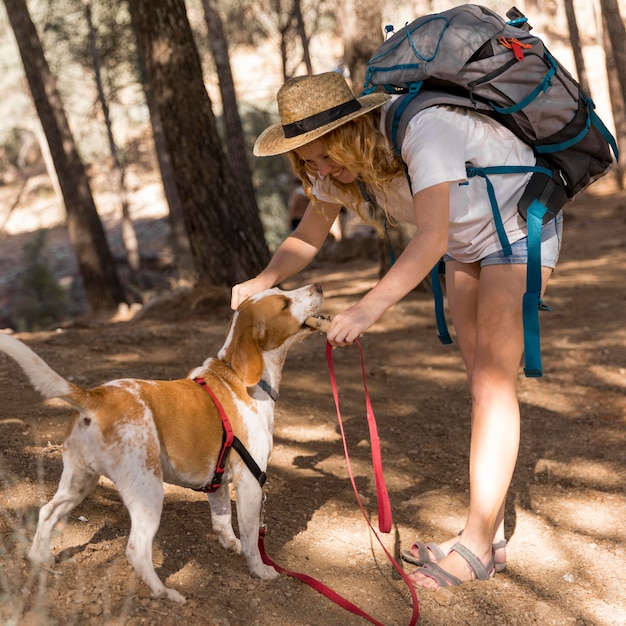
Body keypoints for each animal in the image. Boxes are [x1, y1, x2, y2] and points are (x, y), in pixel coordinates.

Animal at [0, 282, 322, 600]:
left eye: (281, 289)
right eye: (283, 303)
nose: (318, 287)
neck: (237, 377)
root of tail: (96, 396)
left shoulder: (218, 482)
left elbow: (222, 520)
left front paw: (230, 543)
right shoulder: (250, 484)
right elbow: (252, 538)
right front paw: (260, 570)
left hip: (79, 482)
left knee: (47, 512)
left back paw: (40, 558)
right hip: (148, 492)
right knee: (136, 550)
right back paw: (164, 593)